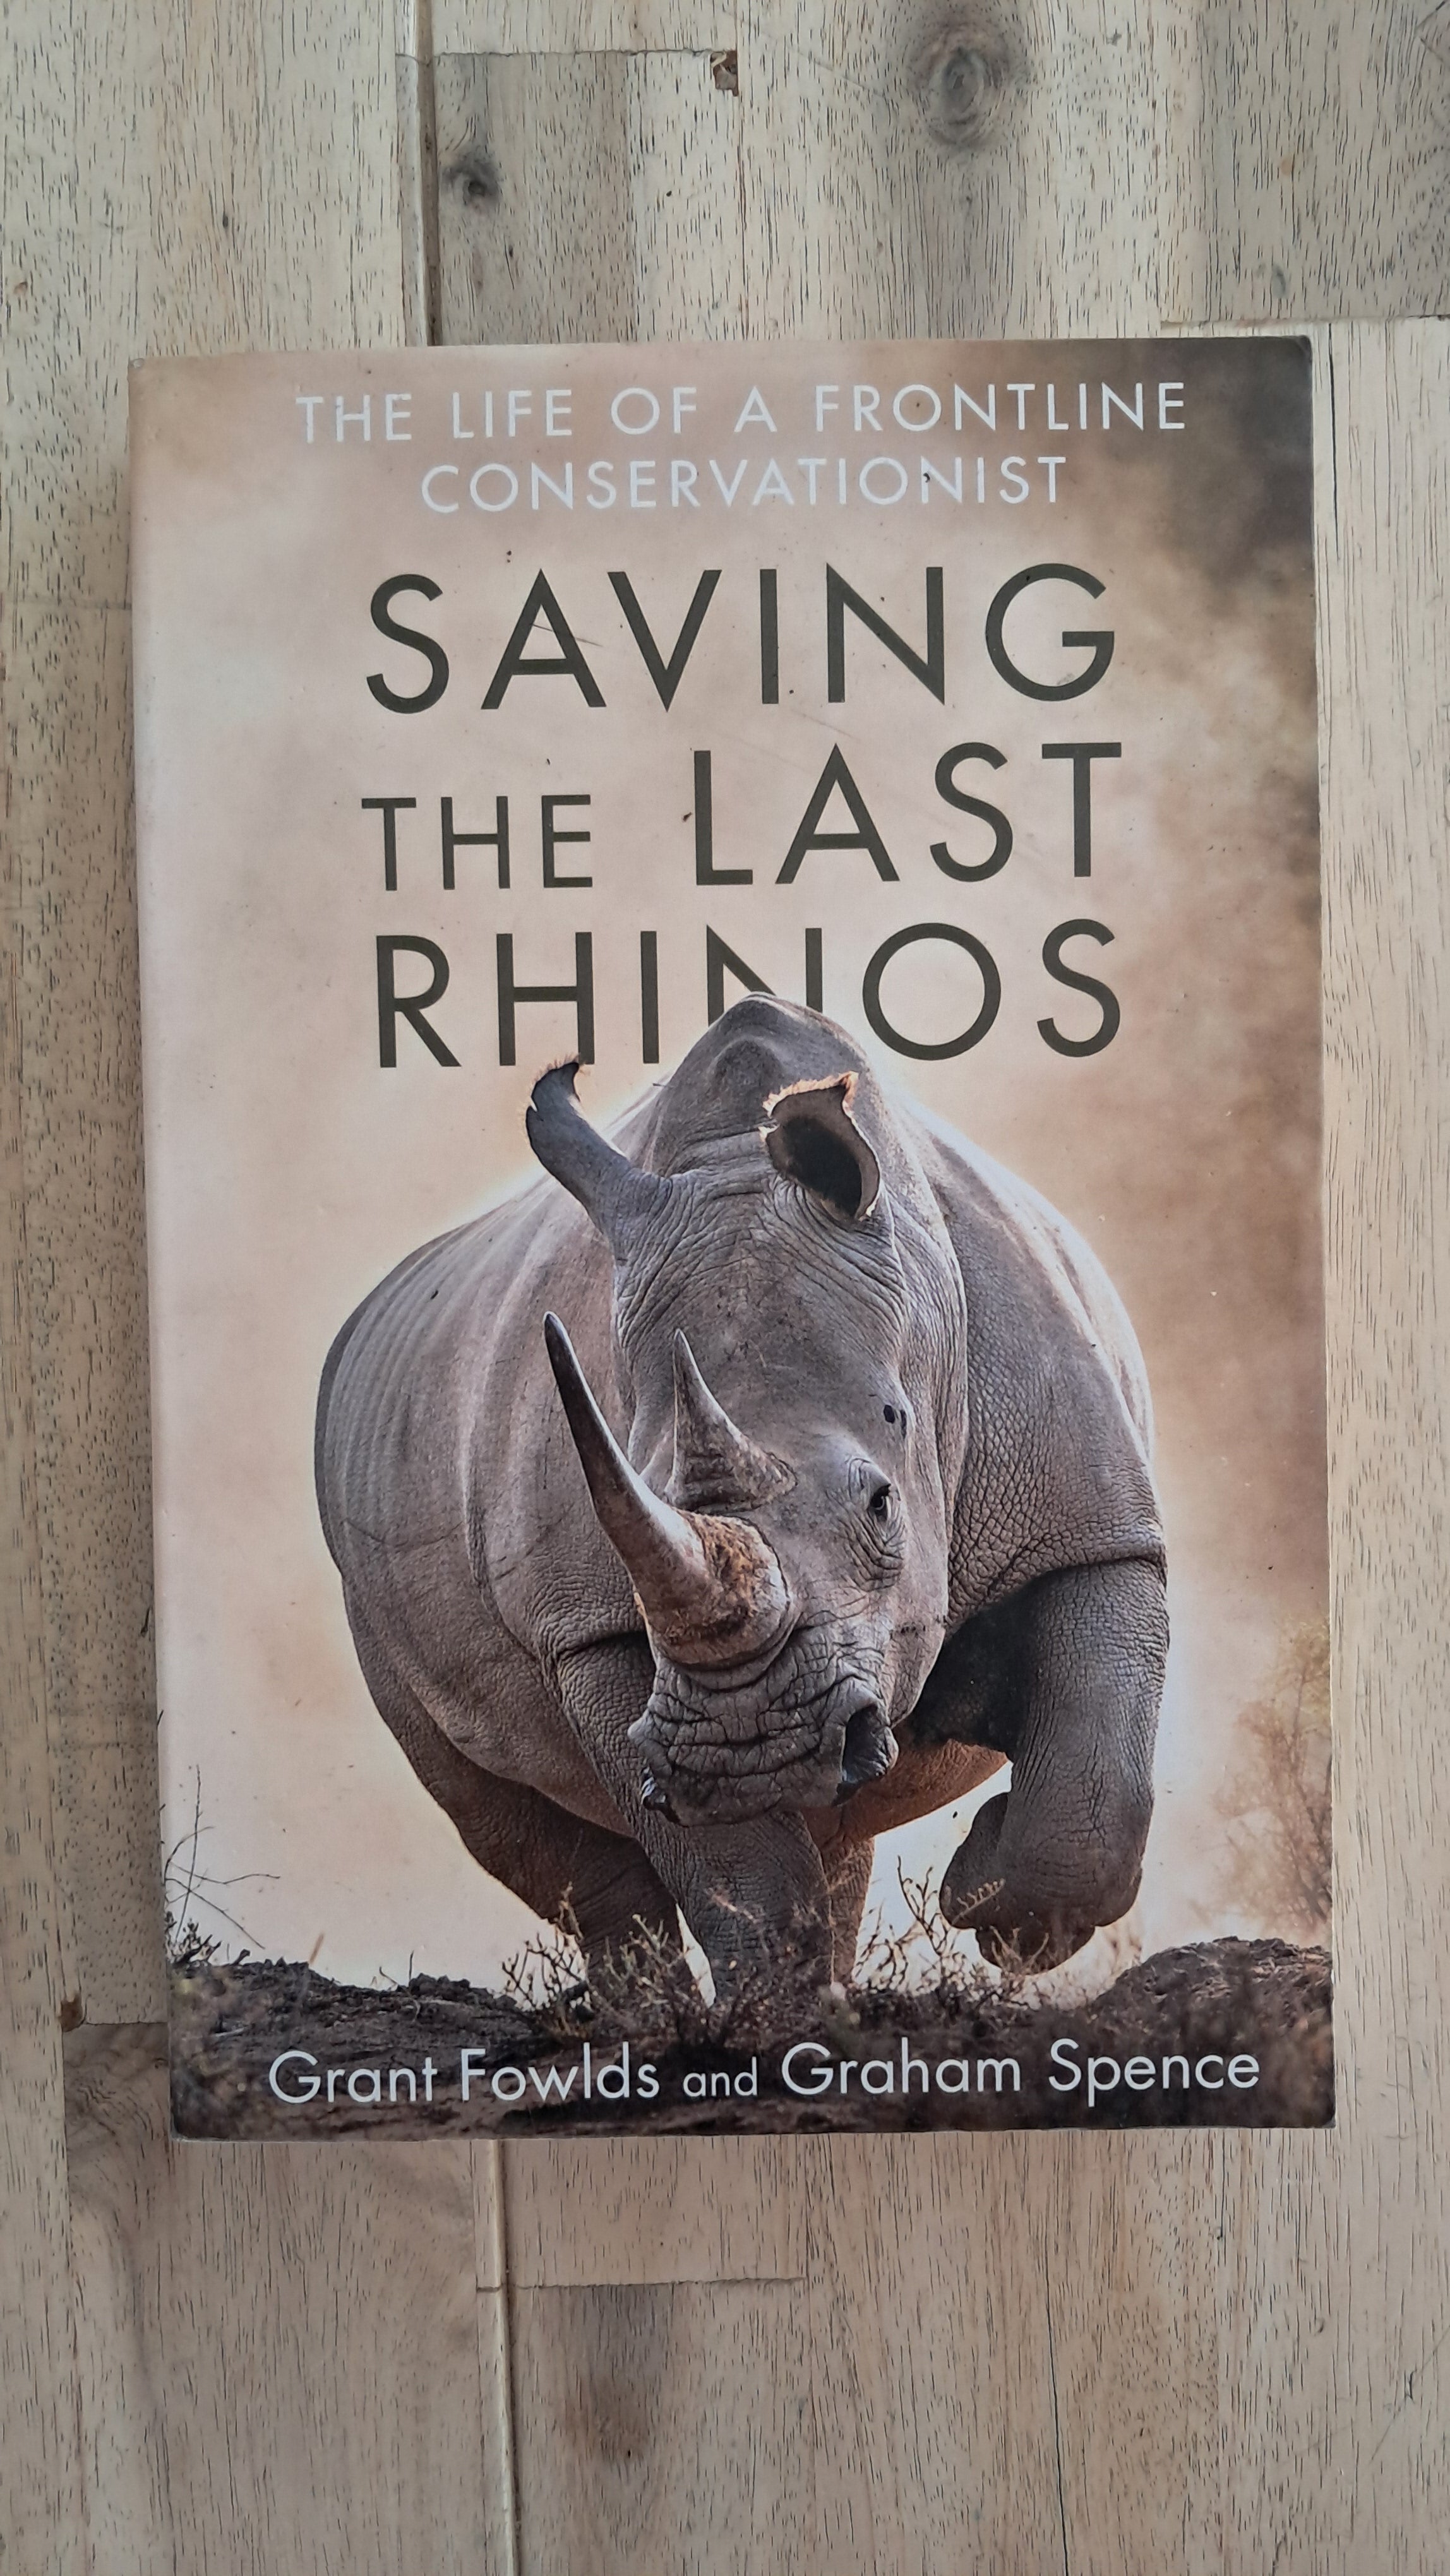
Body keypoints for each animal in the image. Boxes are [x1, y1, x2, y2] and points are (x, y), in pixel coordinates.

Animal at [315, 996, 1167, 1992]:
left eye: (883, 1506)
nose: (750, 1750)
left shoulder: (1091, 1521)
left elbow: (1094, 1792)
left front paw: (983, 1904)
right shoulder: (590, 1628)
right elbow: (738, 1873)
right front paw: (782, 2016)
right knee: (520, 1831)